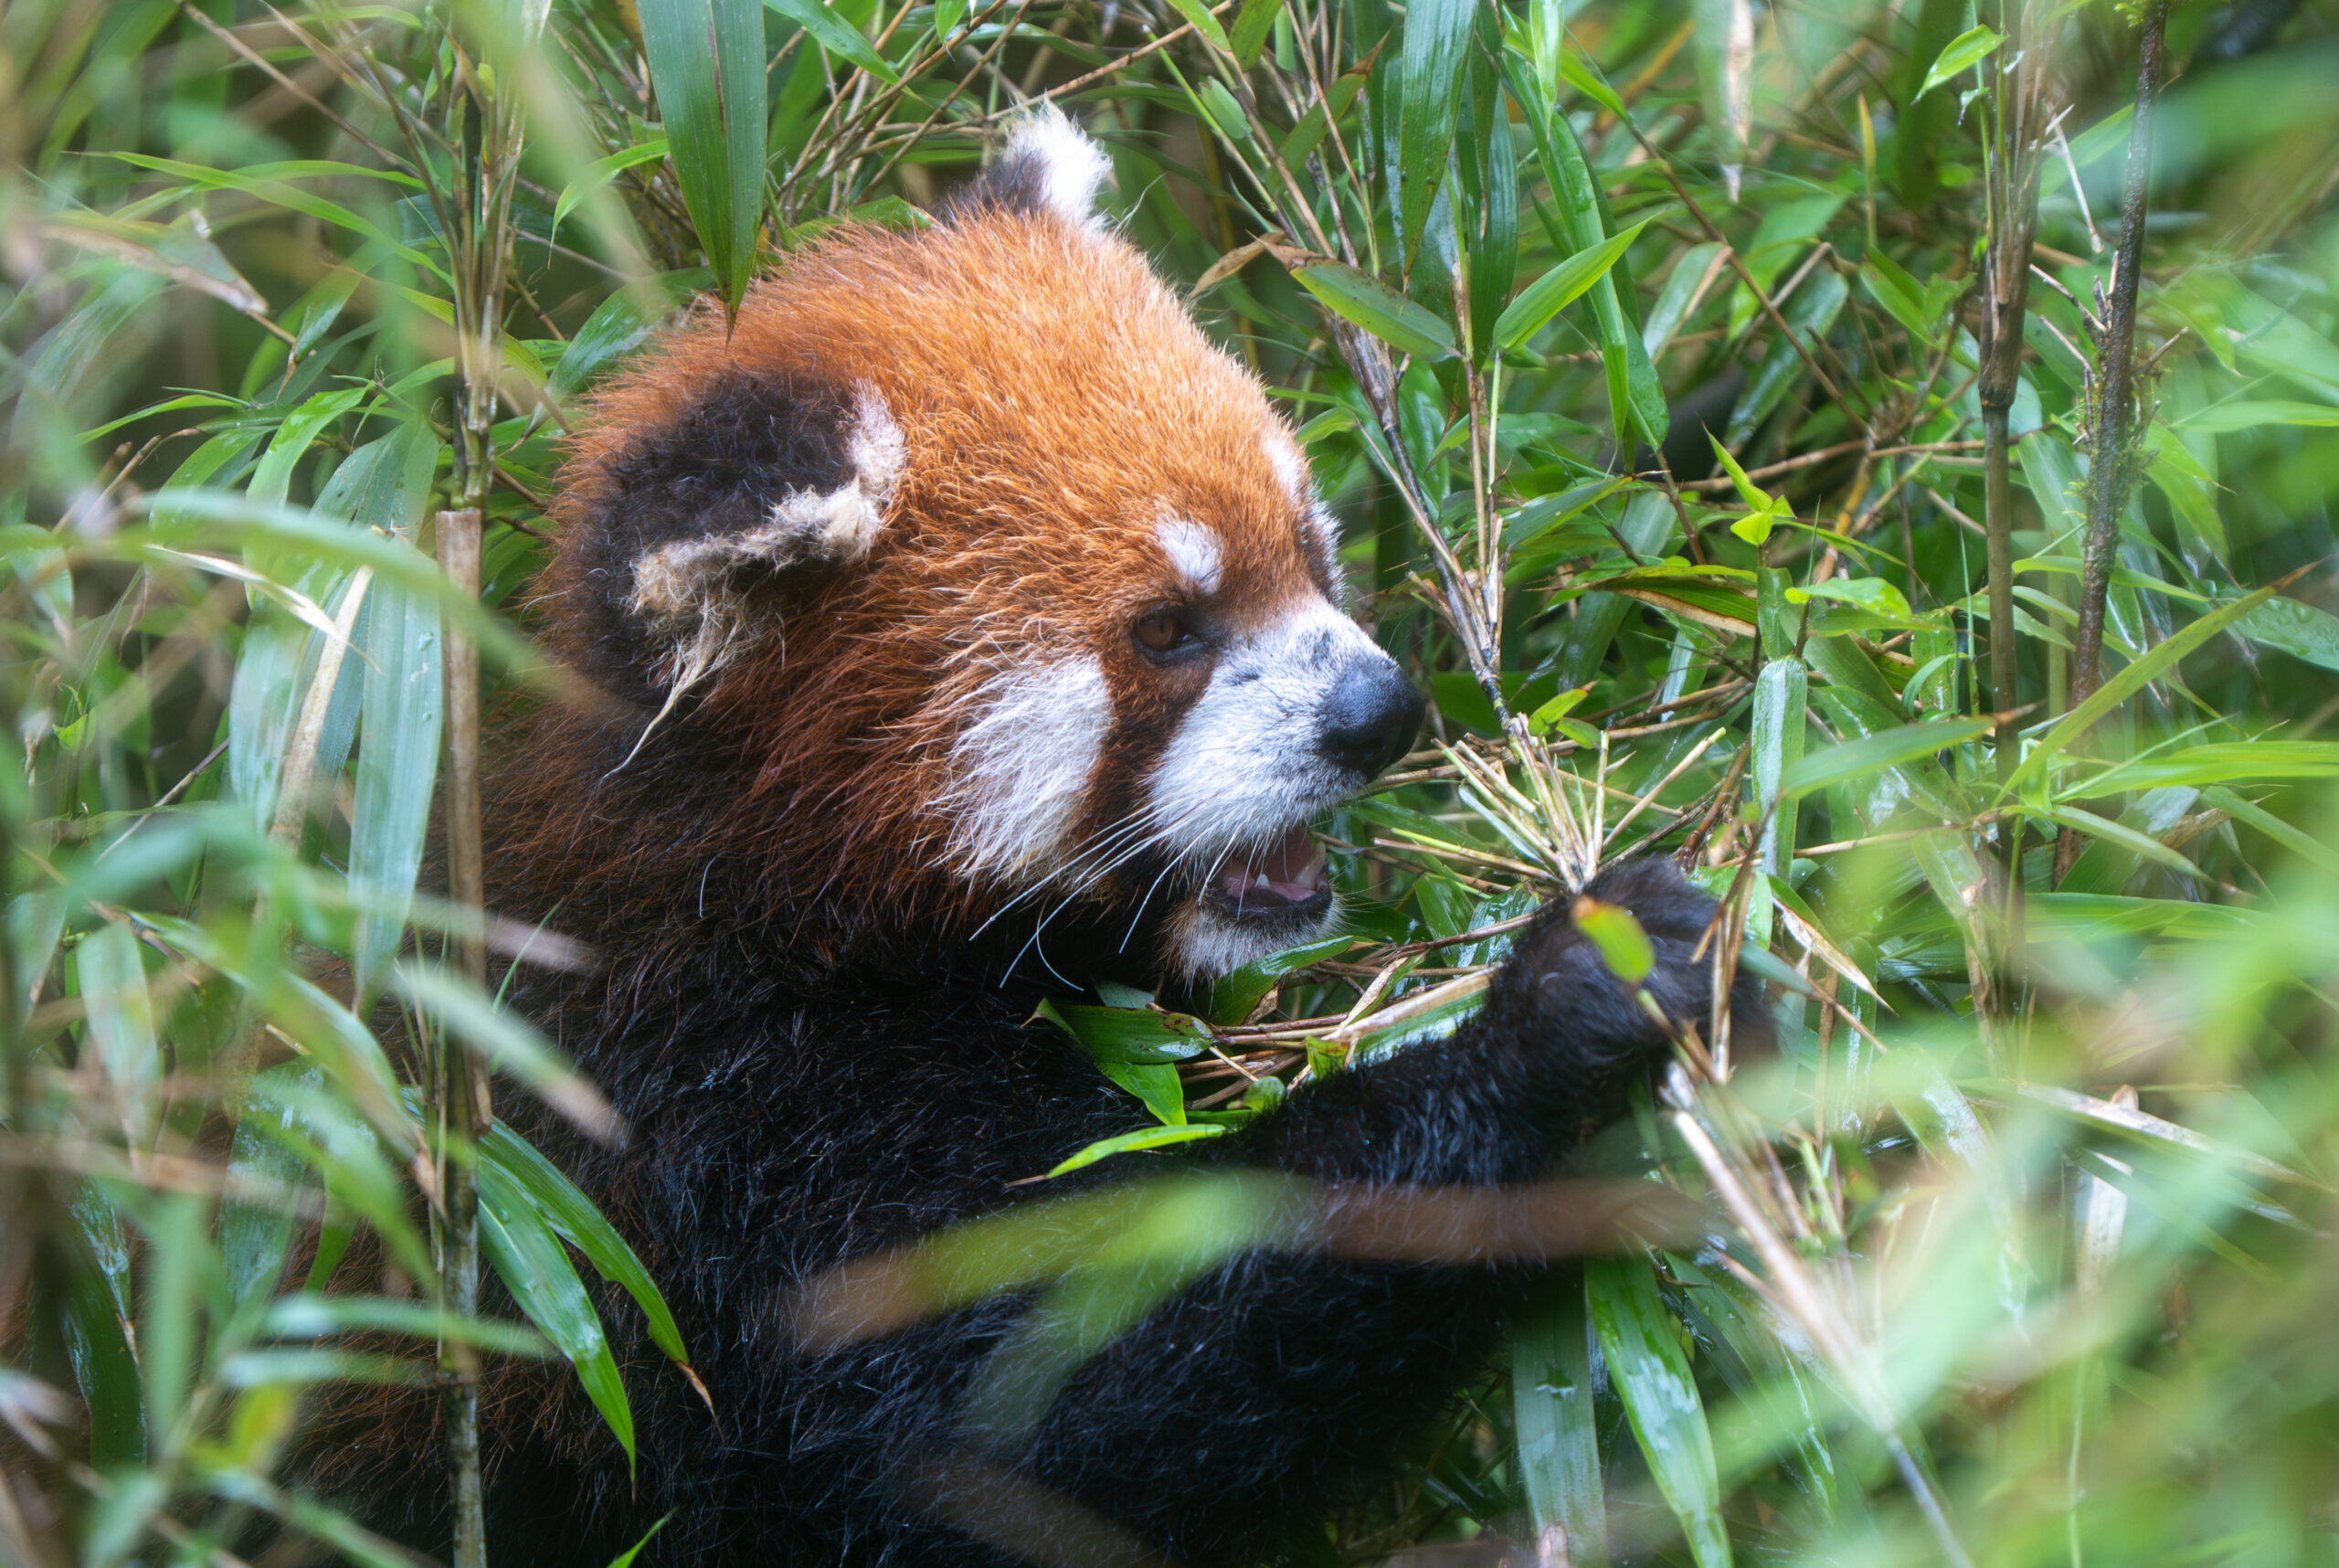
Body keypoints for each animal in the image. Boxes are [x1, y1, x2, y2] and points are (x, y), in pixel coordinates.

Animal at [370, 108, 1753, 1568]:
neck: (764, 884)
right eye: (1167, 630)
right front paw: (1568, 1008)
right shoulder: (709, 1130)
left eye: (1310, 544)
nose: (1380, 715)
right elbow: (1044, 1409)